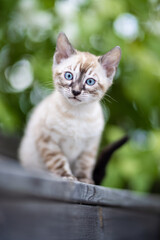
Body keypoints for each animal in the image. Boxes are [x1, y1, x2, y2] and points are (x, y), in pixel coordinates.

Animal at [18, 32, 120, 184]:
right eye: (68, 76)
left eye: (90, 82)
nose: (76, 92)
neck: (77, 114)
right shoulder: (48, 140)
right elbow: (59, 161)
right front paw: (66, 176)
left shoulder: (89, 147)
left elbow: (84, 165)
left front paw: (85, 180)